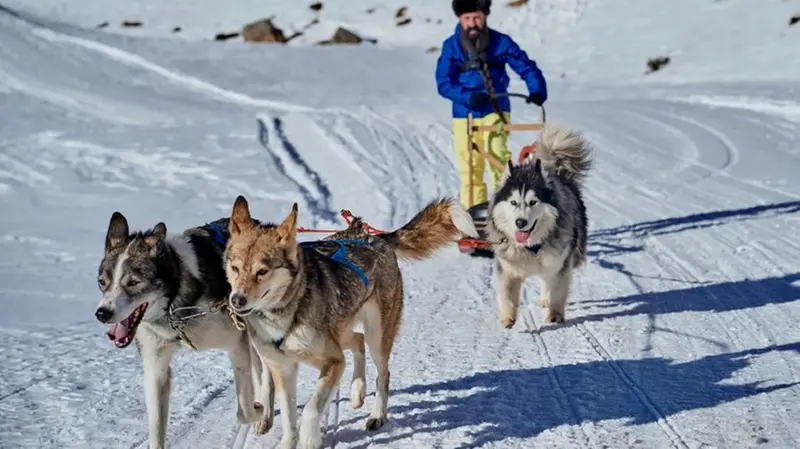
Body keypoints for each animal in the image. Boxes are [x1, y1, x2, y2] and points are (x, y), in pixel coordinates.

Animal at [93, 214, 276, 448]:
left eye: (133, 282)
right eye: (102, 282)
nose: (102, 313)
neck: (175, 303)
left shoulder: (237, 345)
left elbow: (244, 411)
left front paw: (259, 409)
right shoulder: (156, 367)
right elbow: (156, 429)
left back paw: (265, 414)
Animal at [222, 196, 478, 448]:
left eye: (262, 271)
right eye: (235, 268)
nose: (237, 300)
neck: (287, 310)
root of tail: (374, 238)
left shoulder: (333, 362)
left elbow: (311, 409)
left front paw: (310, 439)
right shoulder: (283, 369)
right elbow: (288, 417)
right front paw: (288, 441)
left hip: (377, 335)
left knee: (382, 373)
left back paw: (377, 414)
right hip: (343, 331)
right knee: (358, 340)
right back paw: (357, 391)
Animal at [484, 124, 592, 328]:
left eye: (533, 202)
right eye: (513, 202)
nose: (520, 222)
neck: (530, 247)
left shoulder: (560, 264)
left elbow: (557, 291)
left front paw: (555, 315)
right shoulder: (507, 268)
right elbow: (506, 294)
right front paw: (508, 317)